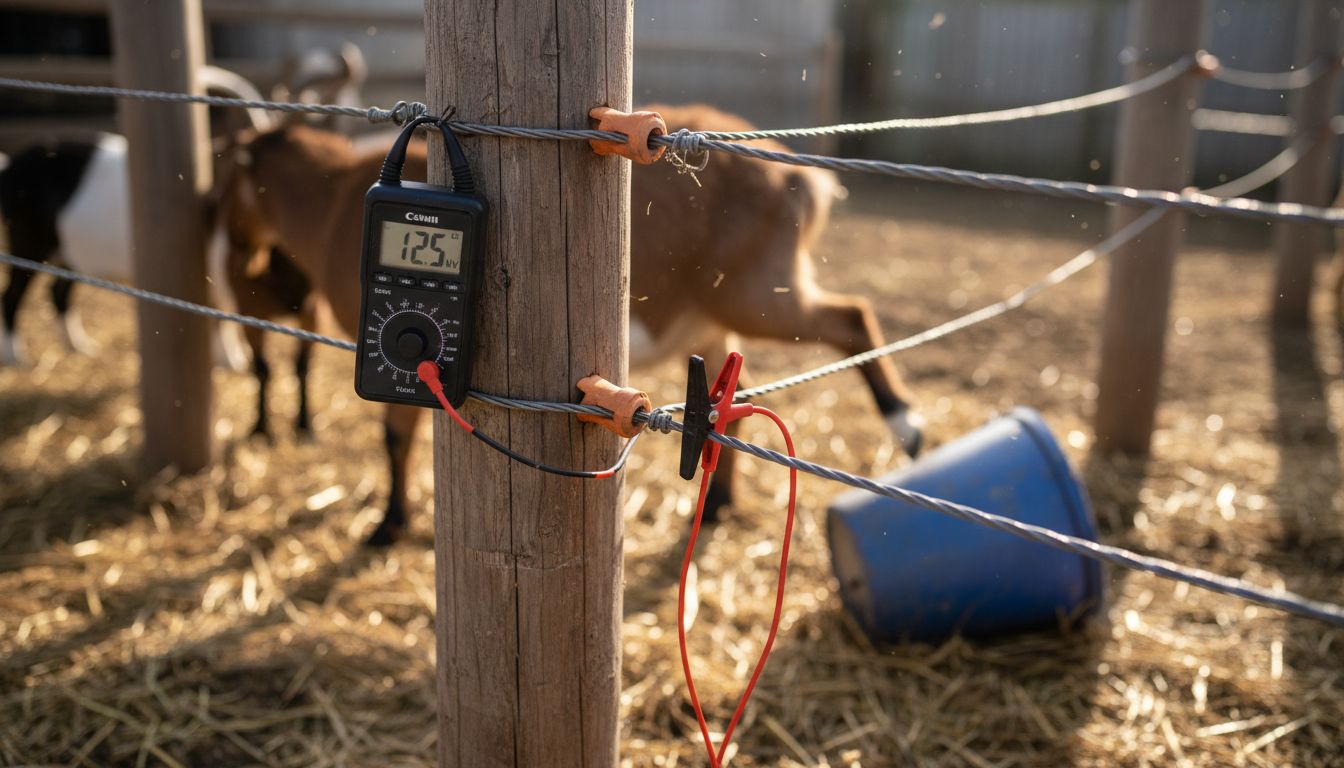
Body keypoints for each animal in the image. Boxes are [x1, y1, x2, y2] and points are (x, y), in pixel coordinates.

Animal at [216, 105, 923, 545]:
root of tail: (802, 181)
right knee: (732, 394)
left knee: (852, 316)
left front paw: (388, 526)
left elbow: (395, 437)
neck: (334, 201)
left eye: (224, 181)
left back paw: (907, 426)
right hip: (711, 320)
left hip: (759, 295)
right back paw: (716, 505)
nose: (234, 253)